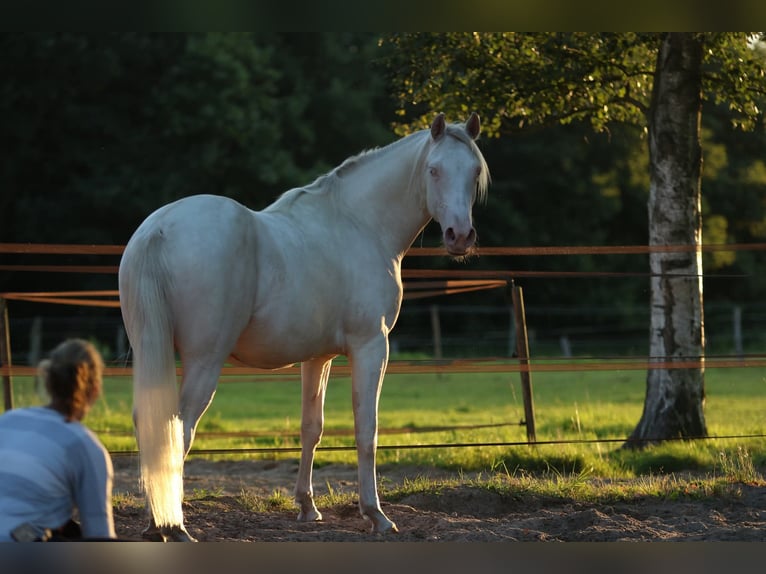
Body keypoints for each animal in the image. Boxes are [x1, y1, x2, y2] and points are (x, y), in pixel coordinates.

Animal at [118, 112, 490, 541]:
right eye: (434, 170)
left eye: (474, 171)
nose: (460, 236)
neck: (359, 225)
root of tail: (159, 230)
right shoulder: (371, 347)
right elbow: (367, 429)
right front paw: (375, 514)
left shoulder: (318, 357)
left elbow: (312, 427)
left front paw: (307, 507)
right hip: (204, 361)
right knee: (177, 428)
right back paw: (174, 525)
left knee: (152, 425)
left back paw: (155, 523)